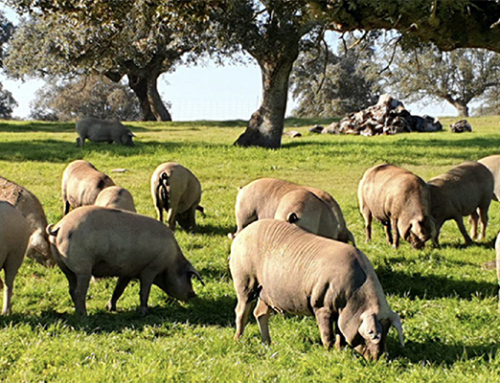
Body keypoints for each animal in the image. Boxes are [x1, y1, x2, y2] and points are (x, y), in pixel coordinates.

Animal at [46, 206, 203, 316]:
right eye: (188, 277)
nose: (194, 294)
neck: (170, 263)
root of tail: (59, 227)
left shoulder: (127, 271)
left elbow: (119, 290)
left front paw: (111, 308)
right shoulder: (151, 268)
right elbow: (144, 291)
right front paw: (143, 312)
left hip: (65, 267)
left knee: (71, 289)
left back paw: (79, 312)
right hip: (82, 268)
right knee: (79, 291)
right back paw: (84, 314)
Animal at [229, 220, 402, 362]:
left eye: (387, 331)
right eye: (373, 334)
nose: (380, 359)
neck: (353, 298)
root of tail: (241, 234)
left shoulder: (340, 312)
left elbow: (340, 333)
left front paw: (340, 351)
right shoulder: (321, 305)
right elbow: (328, 335)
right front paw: (330, 353)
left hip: (265, 292)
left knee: (260, 313)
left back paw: (268, 344)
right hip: (244, 280)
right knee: (241, 311)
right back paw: (238, 340)